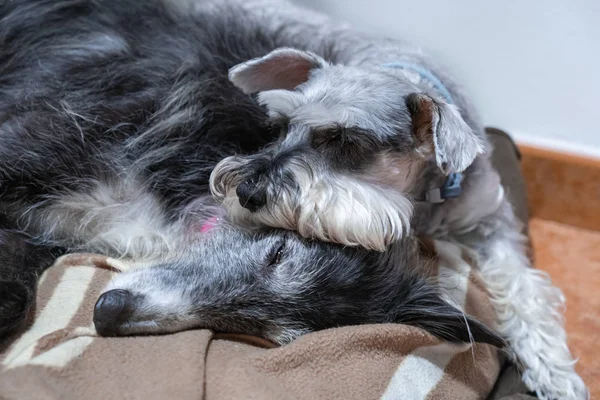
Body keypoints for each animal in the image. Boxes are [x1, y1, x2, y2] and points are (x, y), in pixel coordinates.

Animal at [0, 0, 584, 400]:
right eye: (279, 125)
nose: (246, 189)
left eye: (266, 334)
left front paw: (552, 366)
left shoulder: (492, 219)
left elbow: (524, 282)